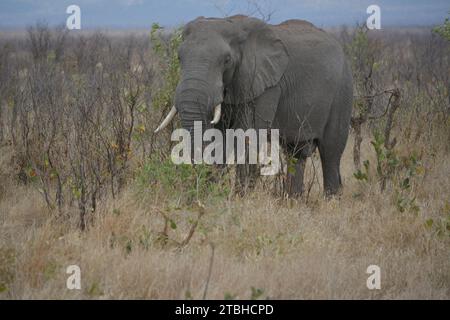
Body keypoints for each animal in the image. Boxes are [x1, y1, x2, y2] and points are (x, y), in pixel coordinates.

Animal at [156, 15, 354, 198]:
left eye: (226, 60)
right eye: (179, 57)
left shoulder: (266, 86)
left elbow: (247, 136)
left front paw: (239, 200)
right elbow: (218, 137)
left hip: (342, 92)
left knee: (331, 151)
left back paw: (331, 201)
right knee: (296, 152)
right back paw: (293, 200)